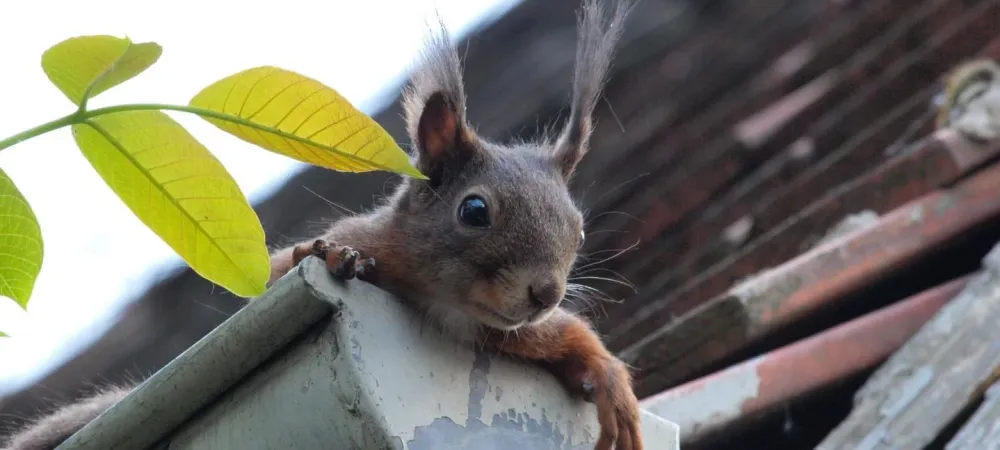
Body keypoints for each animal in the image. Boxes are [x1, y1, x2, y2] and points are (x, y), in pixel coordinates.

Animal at [0, 1, 640, 448]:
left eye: (580, 230)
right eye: (474, 210)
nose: (545, 293)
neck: (445, 302)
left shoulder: (502, 332)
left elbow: (568, 338)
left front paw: (609, 381)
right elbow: (280, 272)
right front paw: (328, 255)